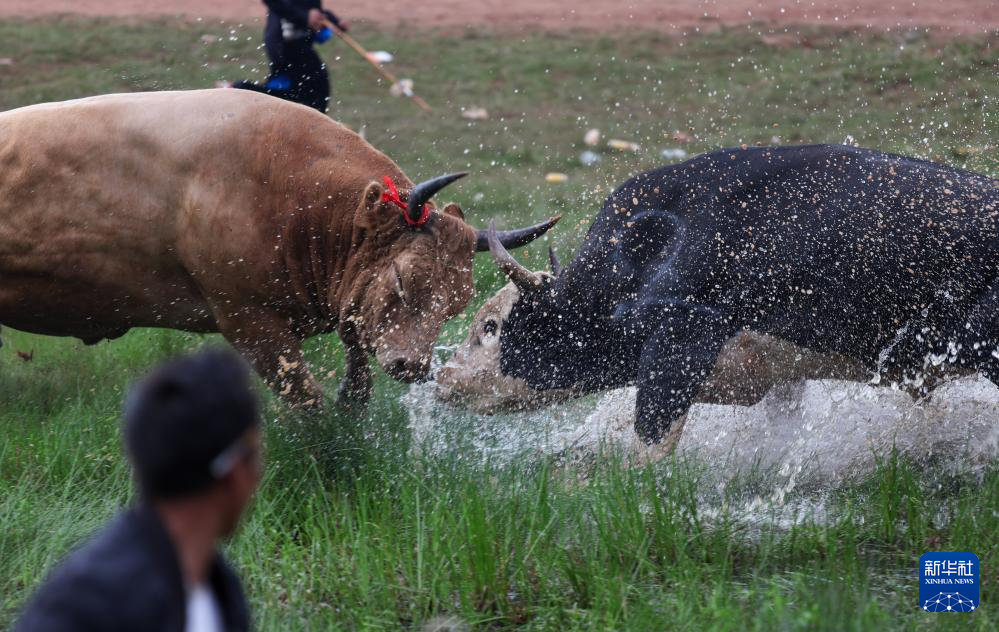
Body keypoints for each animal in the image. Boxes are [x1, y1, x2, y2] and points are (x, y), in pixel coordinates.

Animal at [0, 90, 560, 404]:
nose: (412, 366)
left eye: (456, 305)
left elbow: (356, 361)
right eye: (403, 279)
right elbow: (304, 397)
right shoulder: (247, 322)